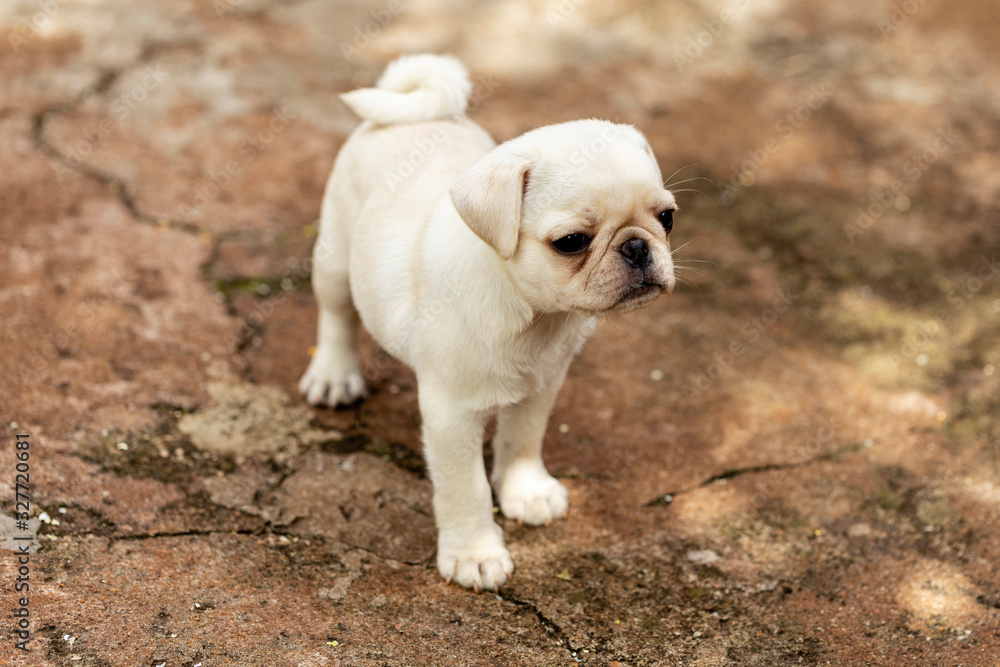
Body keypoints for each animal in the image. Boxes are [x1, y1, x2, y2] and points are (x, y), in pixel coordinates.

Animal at [300, 54, 676, 592]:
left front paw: (526, 491)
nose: (638, 246)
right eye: (571, 242)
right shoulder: (450, 414)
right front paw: (474, 553)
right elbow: (466, 487)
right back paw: (333, 376)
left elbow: (523, 440)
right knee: (336, 315)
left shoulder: (543, 385)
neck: (535, 315)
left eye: (666, 218)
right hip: (334, 258)